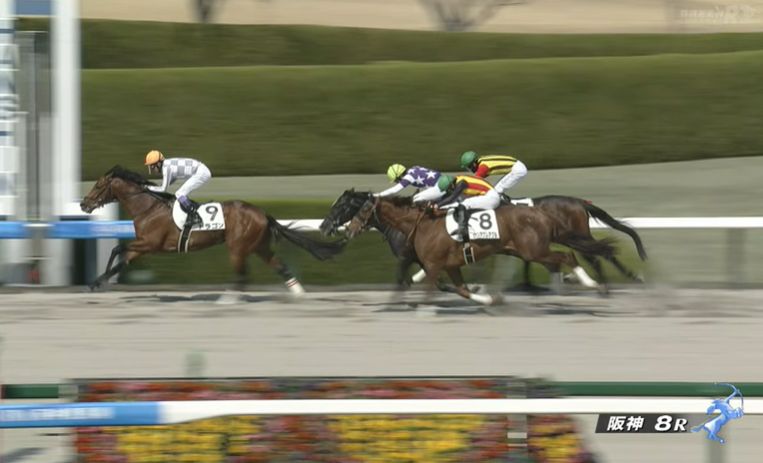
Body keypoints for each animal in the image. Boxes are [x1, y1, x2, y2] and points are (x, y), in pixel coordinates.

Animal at [80, 166, 345, 294]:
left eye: (98, 185)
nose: (83, 204)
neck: (148, 207)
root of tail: (262, 213)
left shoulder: (150, 243)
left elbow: (117, 250)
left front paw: (97, 280)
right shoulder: (142, 246)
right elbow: (121, 256)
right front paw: (98, 280)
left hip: (237, 248)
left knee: (243, 274)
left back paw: (228, 298)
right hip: (258, 247)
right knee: (278, 266)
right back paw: (298, 293)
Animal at [321, 191, 616, 305]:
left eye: (349, 207)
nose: (330, 227)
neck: (420, 223)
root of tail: (542, 213)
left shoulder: (425, 261)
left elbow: (418, 283)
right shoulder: (446, 264)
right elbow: (458, 288)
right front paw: (487, 298)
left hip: (534, 249)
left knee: (568, 255)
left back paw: (591, 283)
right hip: (527, 249)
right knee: (564, 259)